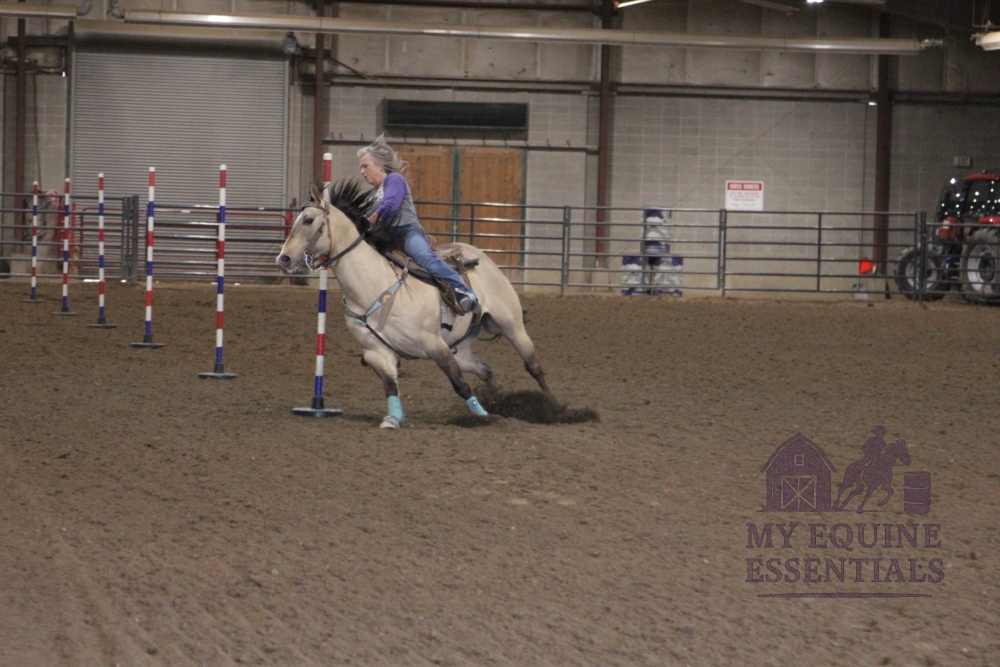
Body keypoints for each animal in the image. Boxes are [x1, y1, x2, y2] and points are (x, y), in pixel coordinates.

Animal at [276, 180, 550, 429]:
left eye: (308, 220)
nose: (283, 258)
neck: (374, 286)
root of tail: (479, 255)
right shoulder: (377, 352)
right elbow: (391, 387)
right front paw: (393, 418)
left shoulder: (434, 344)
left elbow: (459, 383)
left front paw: (482, 415)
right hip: (461, 348)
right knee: (486, 371)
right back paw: (498, 400)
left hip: (512, 326)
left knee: (534, 367)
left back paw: (551, 406)